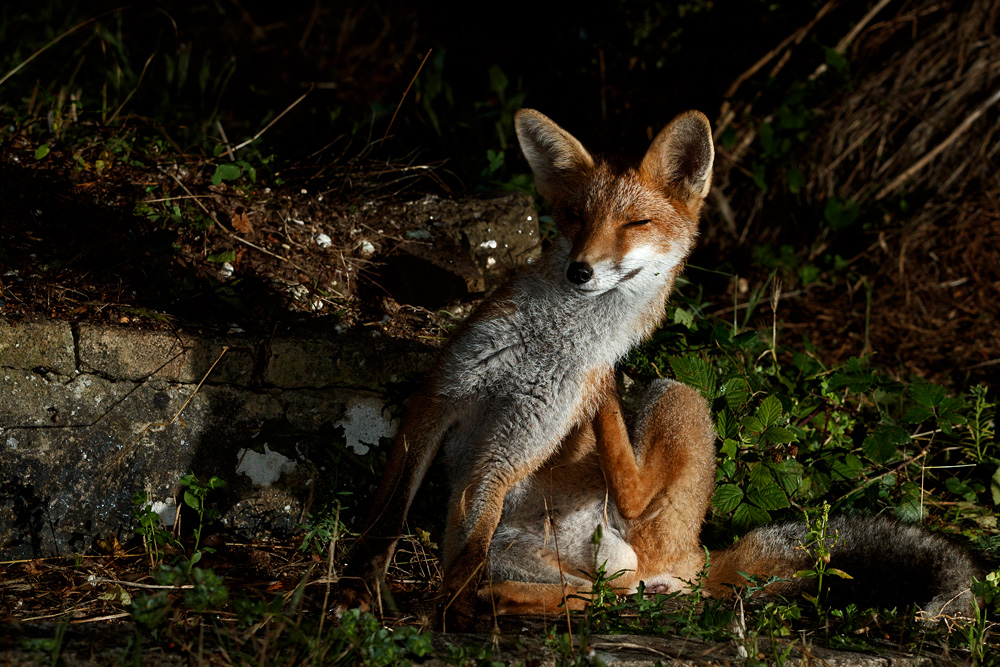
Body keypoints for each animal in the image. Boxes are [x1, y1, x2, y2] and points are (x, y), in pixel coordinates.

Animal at [336, 109, 984, 623]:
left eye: (635, 224)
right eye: (575, 217)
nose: (580, 270)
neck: (548, 343)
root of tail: (699, 554)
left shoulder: (515, 442)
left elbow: (462, 552)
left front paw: (445, 616)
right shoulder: (440, 401)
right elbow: (386, 521)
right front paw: (358, 592)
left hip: (674, 398)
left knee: (628, 522)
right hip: (547, 555)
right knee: (595, 594)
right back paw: (510, 598)